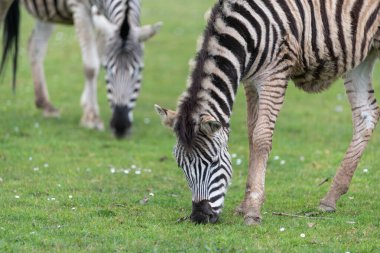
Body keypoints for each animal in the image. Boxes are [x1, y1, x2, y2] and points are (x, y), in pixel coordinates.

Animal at [0, 0, 162, 137]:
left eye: (139, 70)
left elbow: (99, 55)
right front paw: (91, 117)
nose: (120, 126)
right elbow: (91, 66)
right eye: (108, 69)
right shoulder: (80, 7)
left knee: (35, 46)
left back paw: (46, 105)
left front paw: (86, 104)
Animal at [154, 0, 380, 225]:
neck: (246, 33)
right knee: (366, 114)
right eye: (180, 166)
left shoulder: (274, 76)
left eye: (214, 161)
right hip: (362, 56)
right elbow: (251, 135)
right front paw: (245, 205)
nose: (200, 217)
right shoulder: (250, 81)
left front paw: (253, 210)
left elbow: (261, 138)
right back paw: (330, 199)